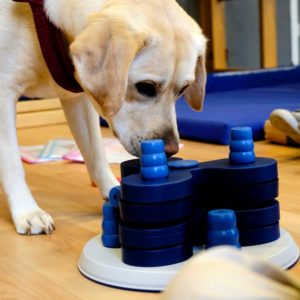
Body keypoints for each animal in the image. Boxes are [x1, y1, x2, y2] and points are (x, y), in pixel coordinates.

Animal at [0, 0, 206, 234]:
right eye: (145, 87)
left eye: (183, 90)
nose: (171, 150)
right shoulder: (4, 93)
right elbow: (12, 163)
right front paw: (27, 211)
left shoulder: (77, 100)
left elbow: (95, 153)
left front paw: (111, 188)